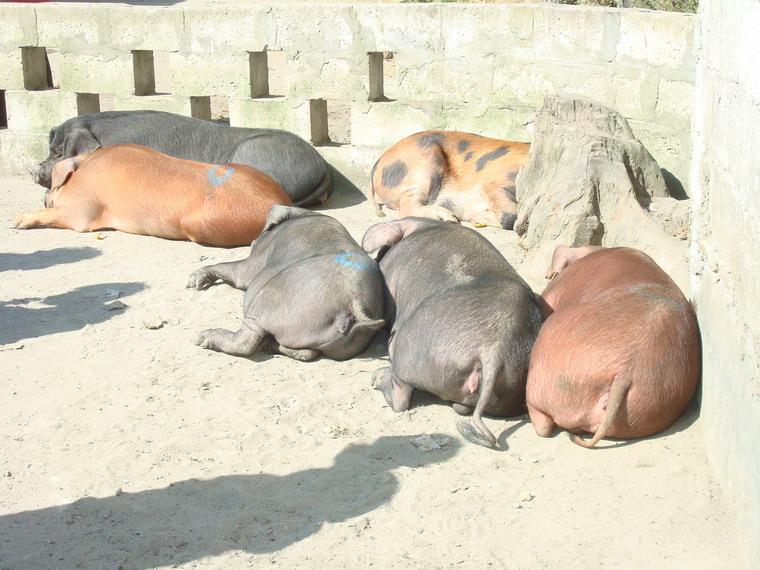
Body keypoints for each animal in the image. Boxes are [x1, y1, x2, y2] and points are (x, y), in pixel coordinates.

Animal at [12, 143, 290, 245]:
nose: (44, 195)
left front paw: (14, 222)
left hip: (200, 225)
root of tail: (278, 202)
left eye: (52, 186)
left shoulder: (82, 210)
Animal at [185, 204, 386, 360]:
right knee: (308, 353)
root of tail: (354, 304)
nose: (254, 240)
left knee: (245, 342)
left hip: (265, 304)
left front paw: (192, 282)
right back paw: (270, 346)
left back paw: (202, 337)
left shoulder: (253, 264)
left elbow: (235, 270)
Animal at [360, 220, 544, 446]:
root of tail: (494, 349)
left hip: (411, 348)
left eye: (382, 252)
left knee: (400, 396)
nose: (377, 258)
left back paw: (376, 378)